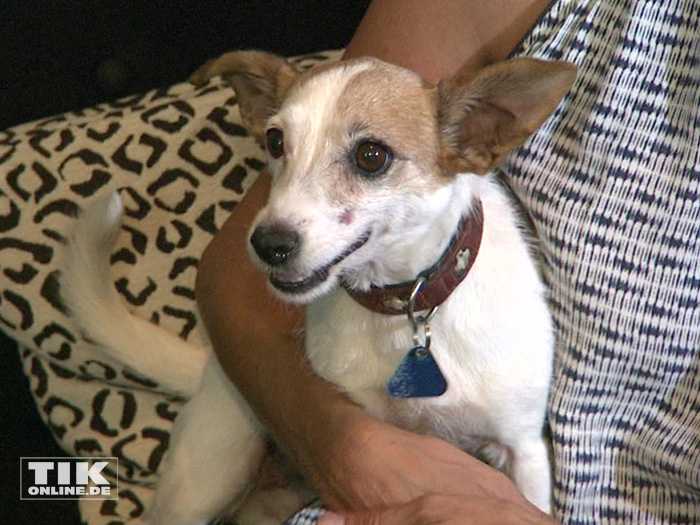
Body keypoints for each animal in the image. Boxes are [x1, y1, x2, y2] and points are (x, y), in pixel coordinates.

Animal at [61, 51, 576, 520]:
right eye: (275, 141)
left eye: (372, 156)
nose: (268, 243)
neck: (404, 304)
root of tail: (210, 367)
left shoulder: (524, 450)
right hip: (210, 472)